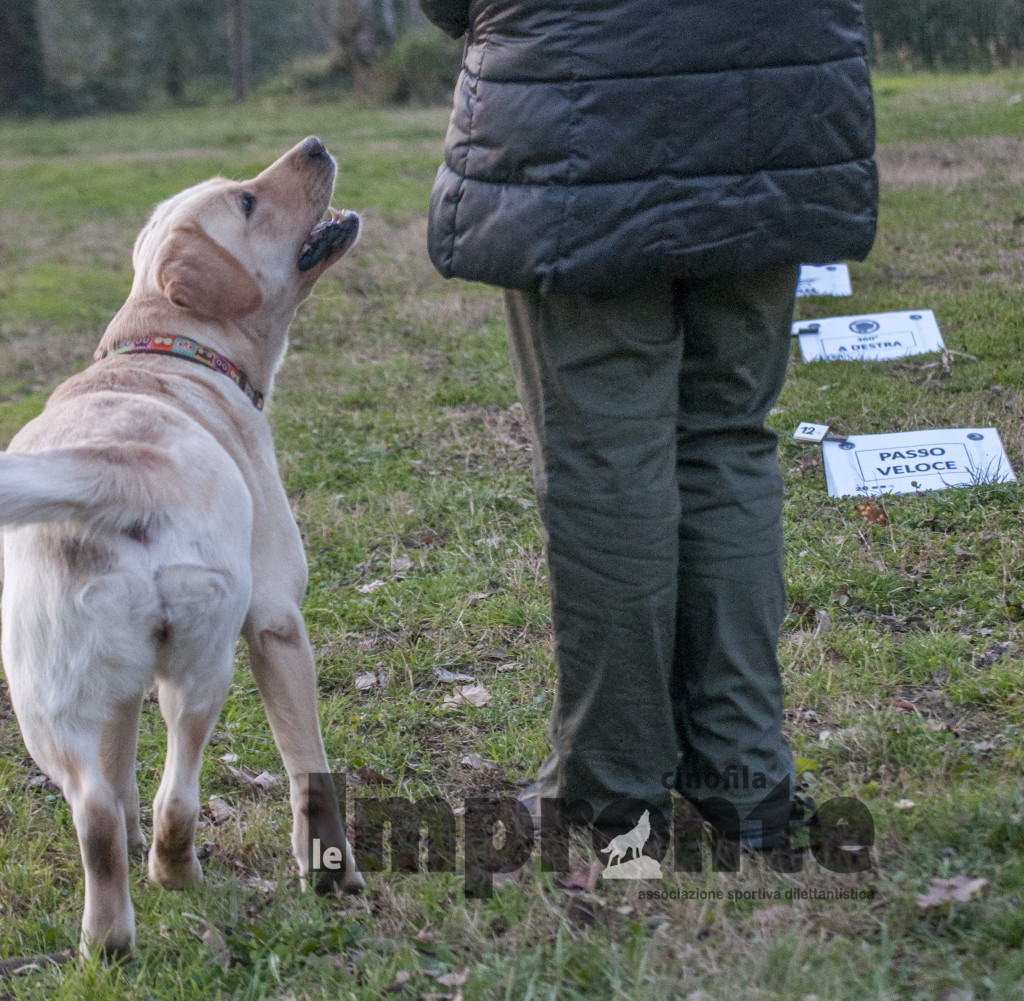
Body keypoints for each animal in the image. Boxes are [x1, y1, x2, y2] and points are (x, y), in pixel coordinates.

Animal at [0, 136, 364, 958]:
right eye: (248, 201)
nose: (315, 144)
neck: (168, 350)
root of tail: (117, 465)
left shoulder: (115, 695)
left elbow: (117, 772)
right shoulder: (276, 623)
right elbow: (309, 770)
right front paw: (331, 873)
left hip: (46, 703)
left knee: (97, 814)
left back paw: (110, 938)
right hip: (204, 666)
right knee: (179, 796)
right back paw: (175, 871)